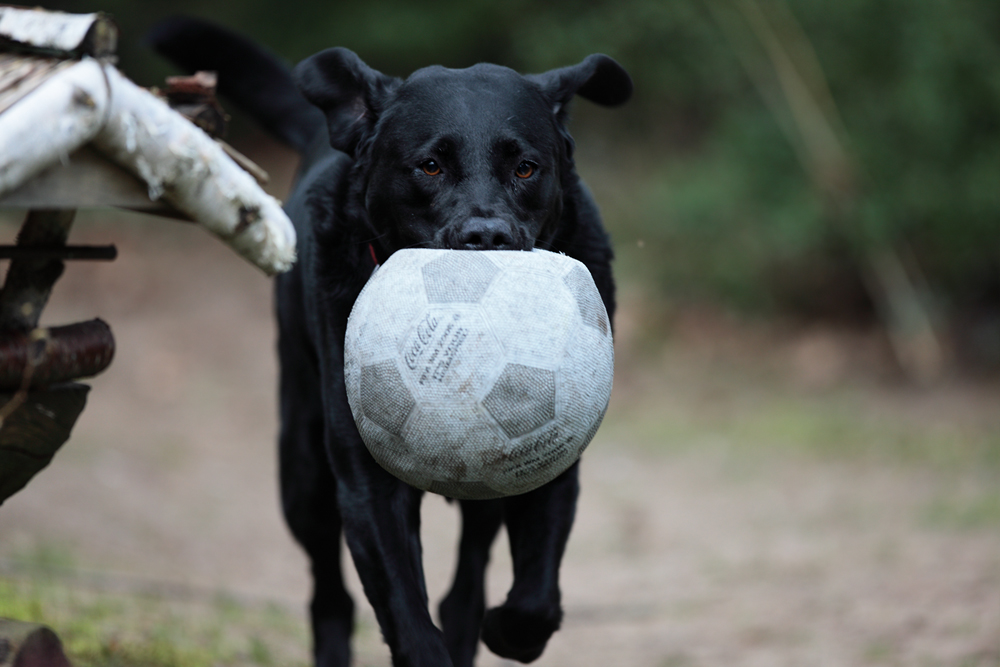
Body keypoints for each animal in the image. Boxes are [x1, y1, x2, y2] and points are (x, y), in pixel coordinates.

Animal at [151, 19, 628, 667]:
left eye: (527, 168)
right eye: (429, 166)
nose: (488, 235)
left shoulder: (554, 457)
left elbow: (533, 600)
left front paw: (508, 629)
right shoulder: (365, 479)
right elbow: (406, 613)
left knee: (465, 582)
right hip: (304, 472)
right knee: (330, 591)